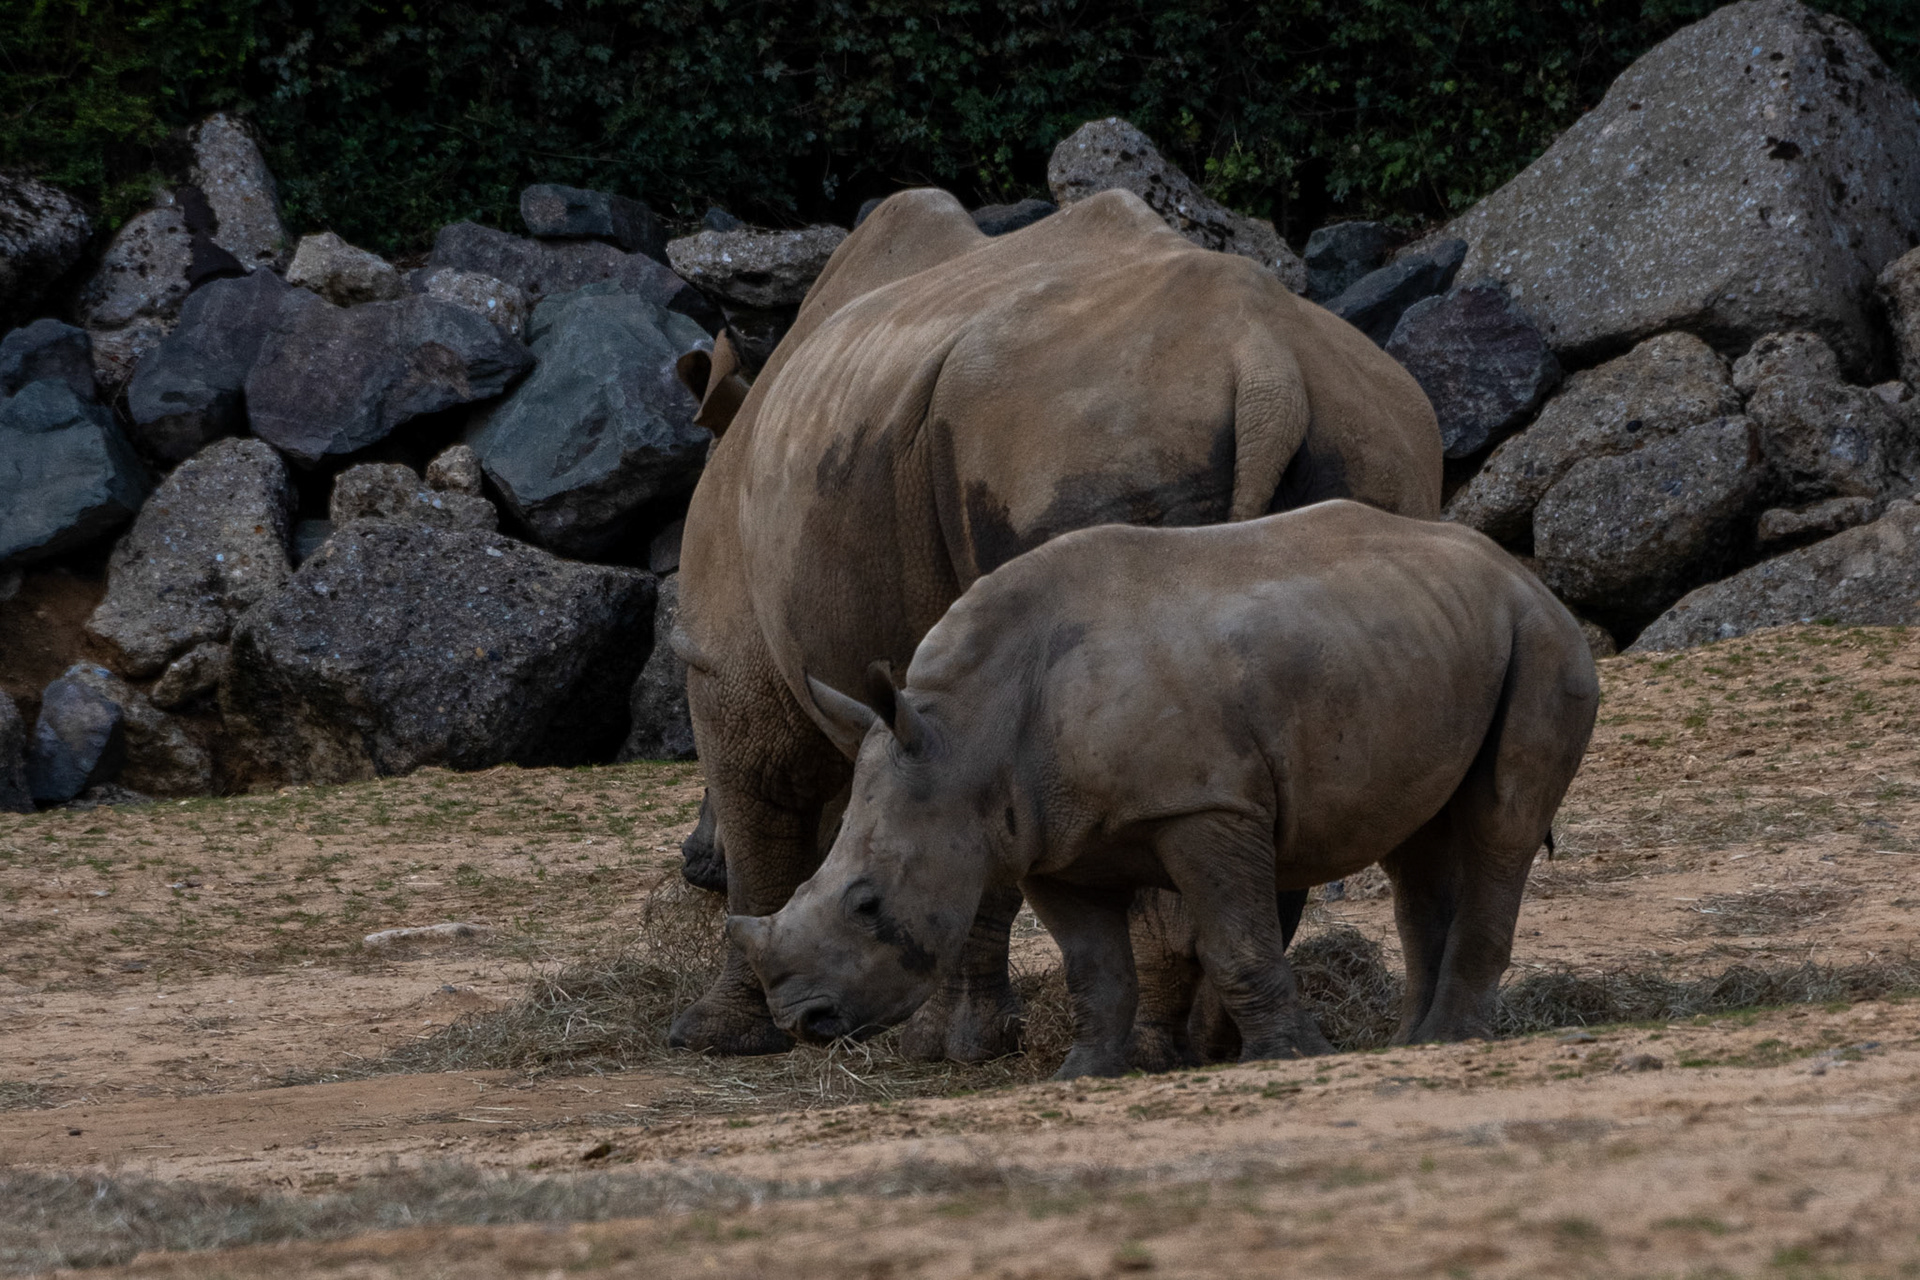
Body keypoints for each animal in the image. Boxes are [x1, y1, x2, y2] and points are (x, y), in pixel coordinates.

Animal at [671, 187, 1441, 1059]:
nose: (692, 864)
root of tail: (1268, 366)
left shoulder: (727, 654)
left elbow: (766, 823)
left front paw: (719, 1034)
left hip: (1080, 438)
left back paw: (1141, 1049)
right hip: (1372, 443)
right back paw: (1205, 1048)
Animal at [727, 501, 1599, 1076]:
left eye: (867, 903)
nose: (804, 1020)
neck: (964, 734)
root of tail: (1519, 572)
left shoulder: (1205, 805)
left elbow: (1236, 938)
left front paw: (1291, 1056)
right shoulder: (1048, 840)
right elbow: (1095, 968)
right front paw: (1083, 1074)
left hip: (1542, 642)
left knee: (1501, 826)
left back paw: (1451, 1038)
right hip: (1425, 637)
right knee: (1416, 843)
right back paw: (1414, 1042)